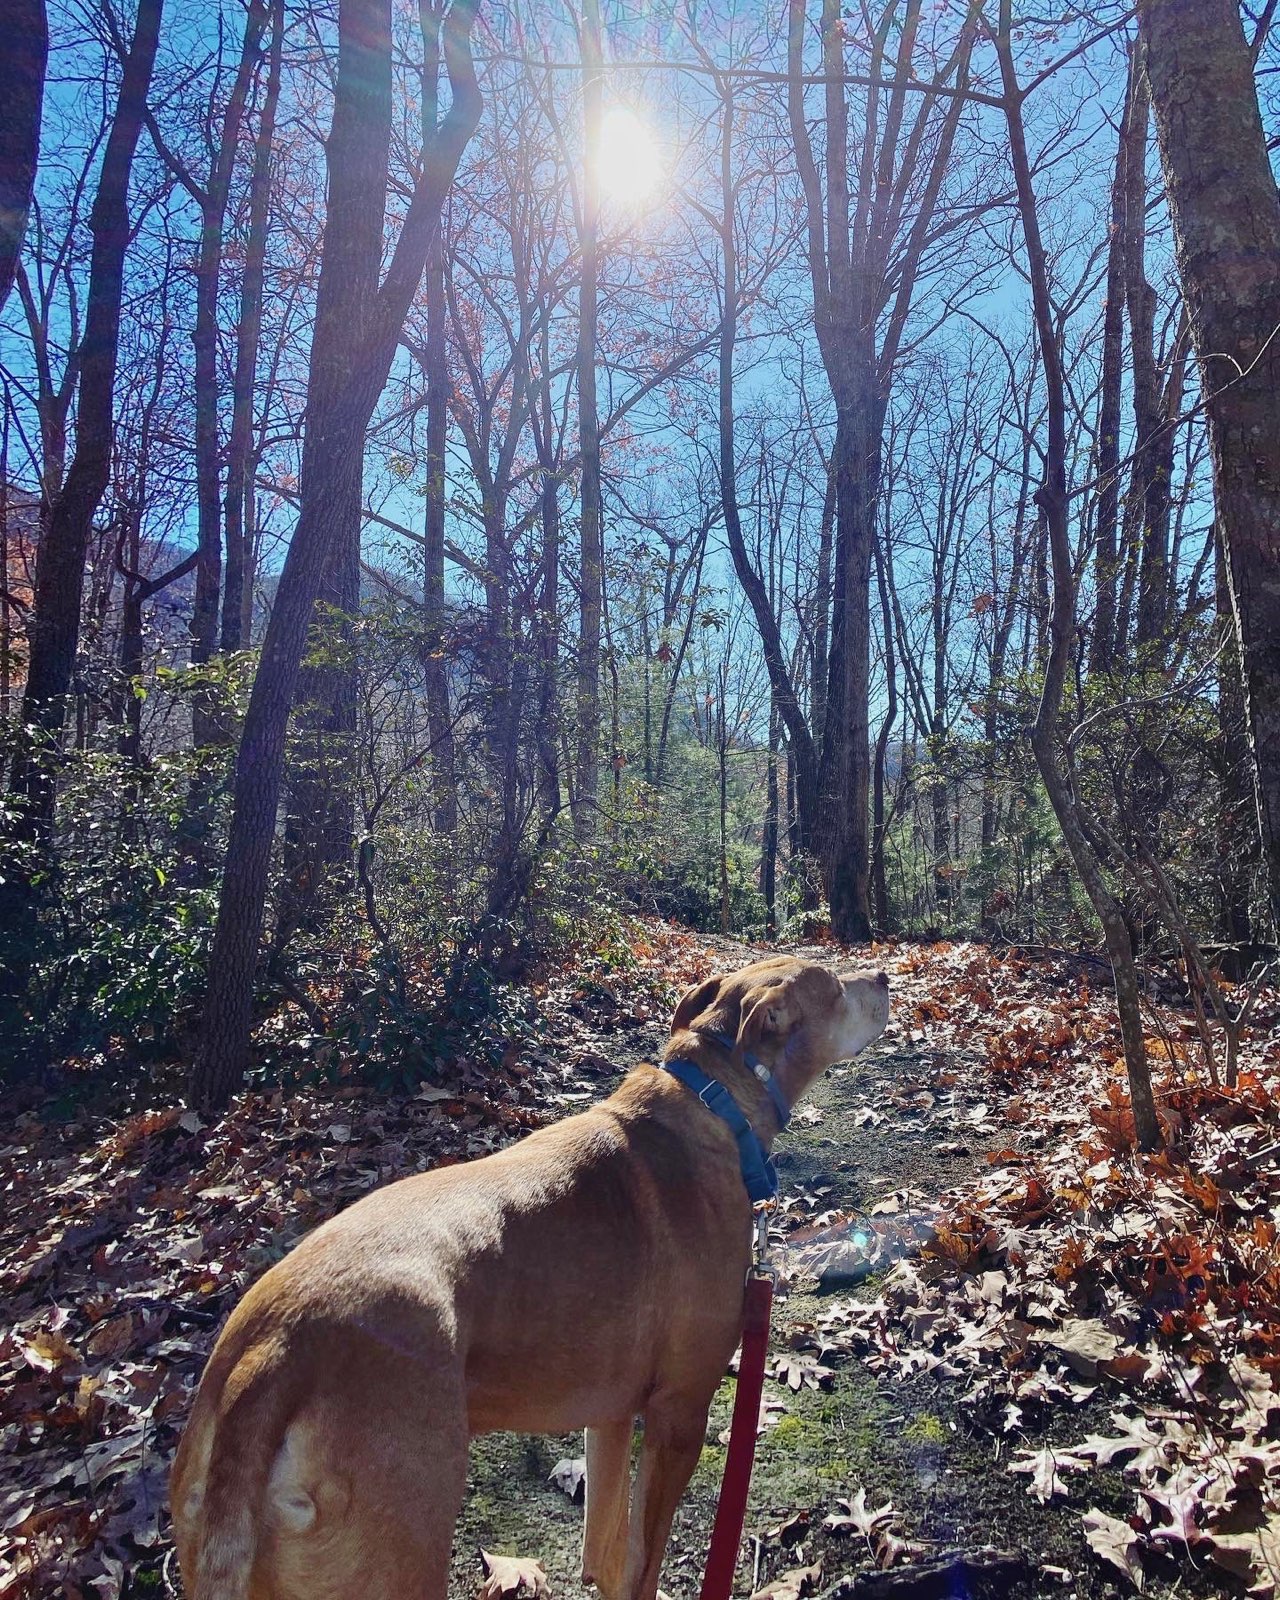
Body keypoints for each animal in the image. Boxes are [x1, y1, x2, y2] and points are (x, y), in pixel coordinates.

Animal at [169, 953, 889, 1600]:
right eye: (832, 985)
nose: (884, 976)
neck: (710, 1102)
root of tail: (271, 1357)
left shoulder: (611, 1416)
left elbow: (608, 1554)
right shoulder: (679, 1414)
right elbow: (644, 1561)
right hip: (394, 1548)